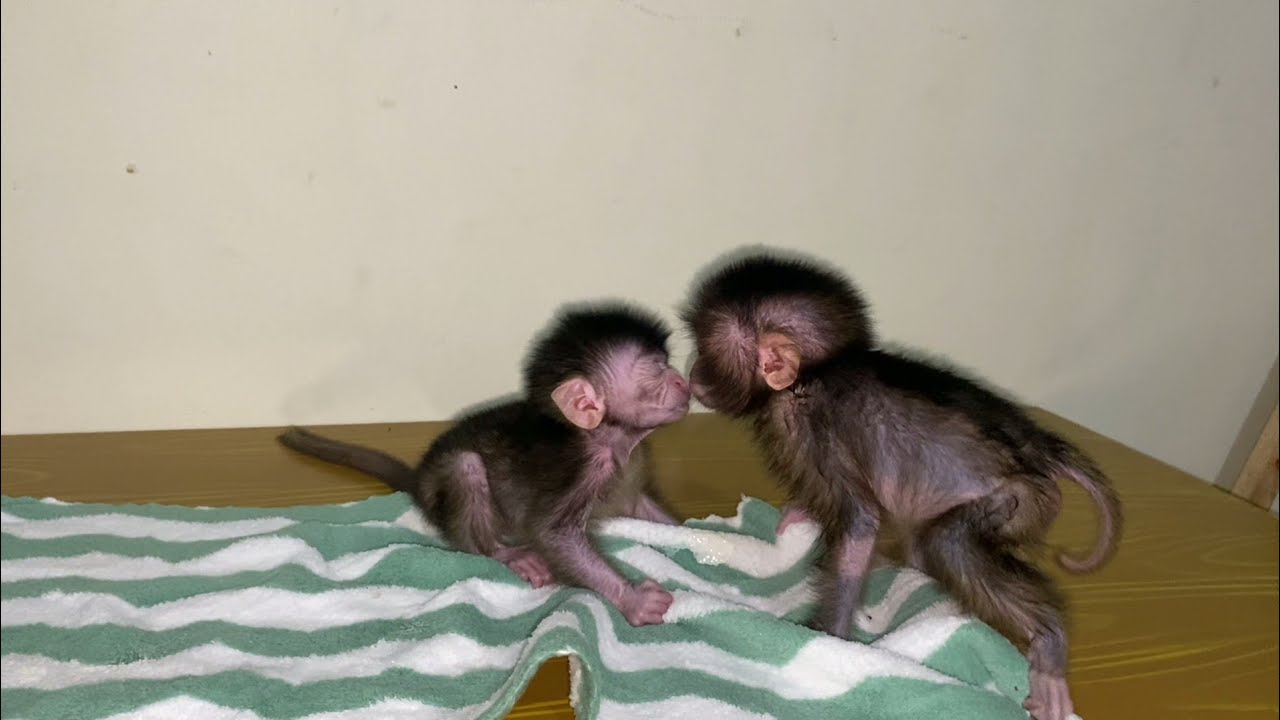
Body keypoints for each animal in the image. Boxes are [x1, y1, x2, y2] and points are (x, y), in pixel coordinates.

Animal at [278, 303, 692, 627]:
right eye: (656, 369)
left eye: (667, 365)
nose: (682, 381)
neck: (612, 439)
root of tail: (420, 481)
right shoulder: (585, 467)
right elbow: (554, 535)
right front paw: (633, 599)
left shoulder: (631, 470)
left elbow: (642, 509)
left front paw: (692, 536)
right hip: (451, 486)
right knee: (467, 468)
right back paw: (504, 553)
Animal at [679, 248, 1122, 720]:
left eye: (706, 349)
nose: (692, 369)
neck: (815, 373)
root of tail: (1037, 449)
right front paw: (797, 515)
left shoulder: (813, 429)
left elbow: (860, 525)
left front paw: (829, 638)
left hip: (1016, 500)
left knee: (947, 543)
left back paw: (1049, 642)